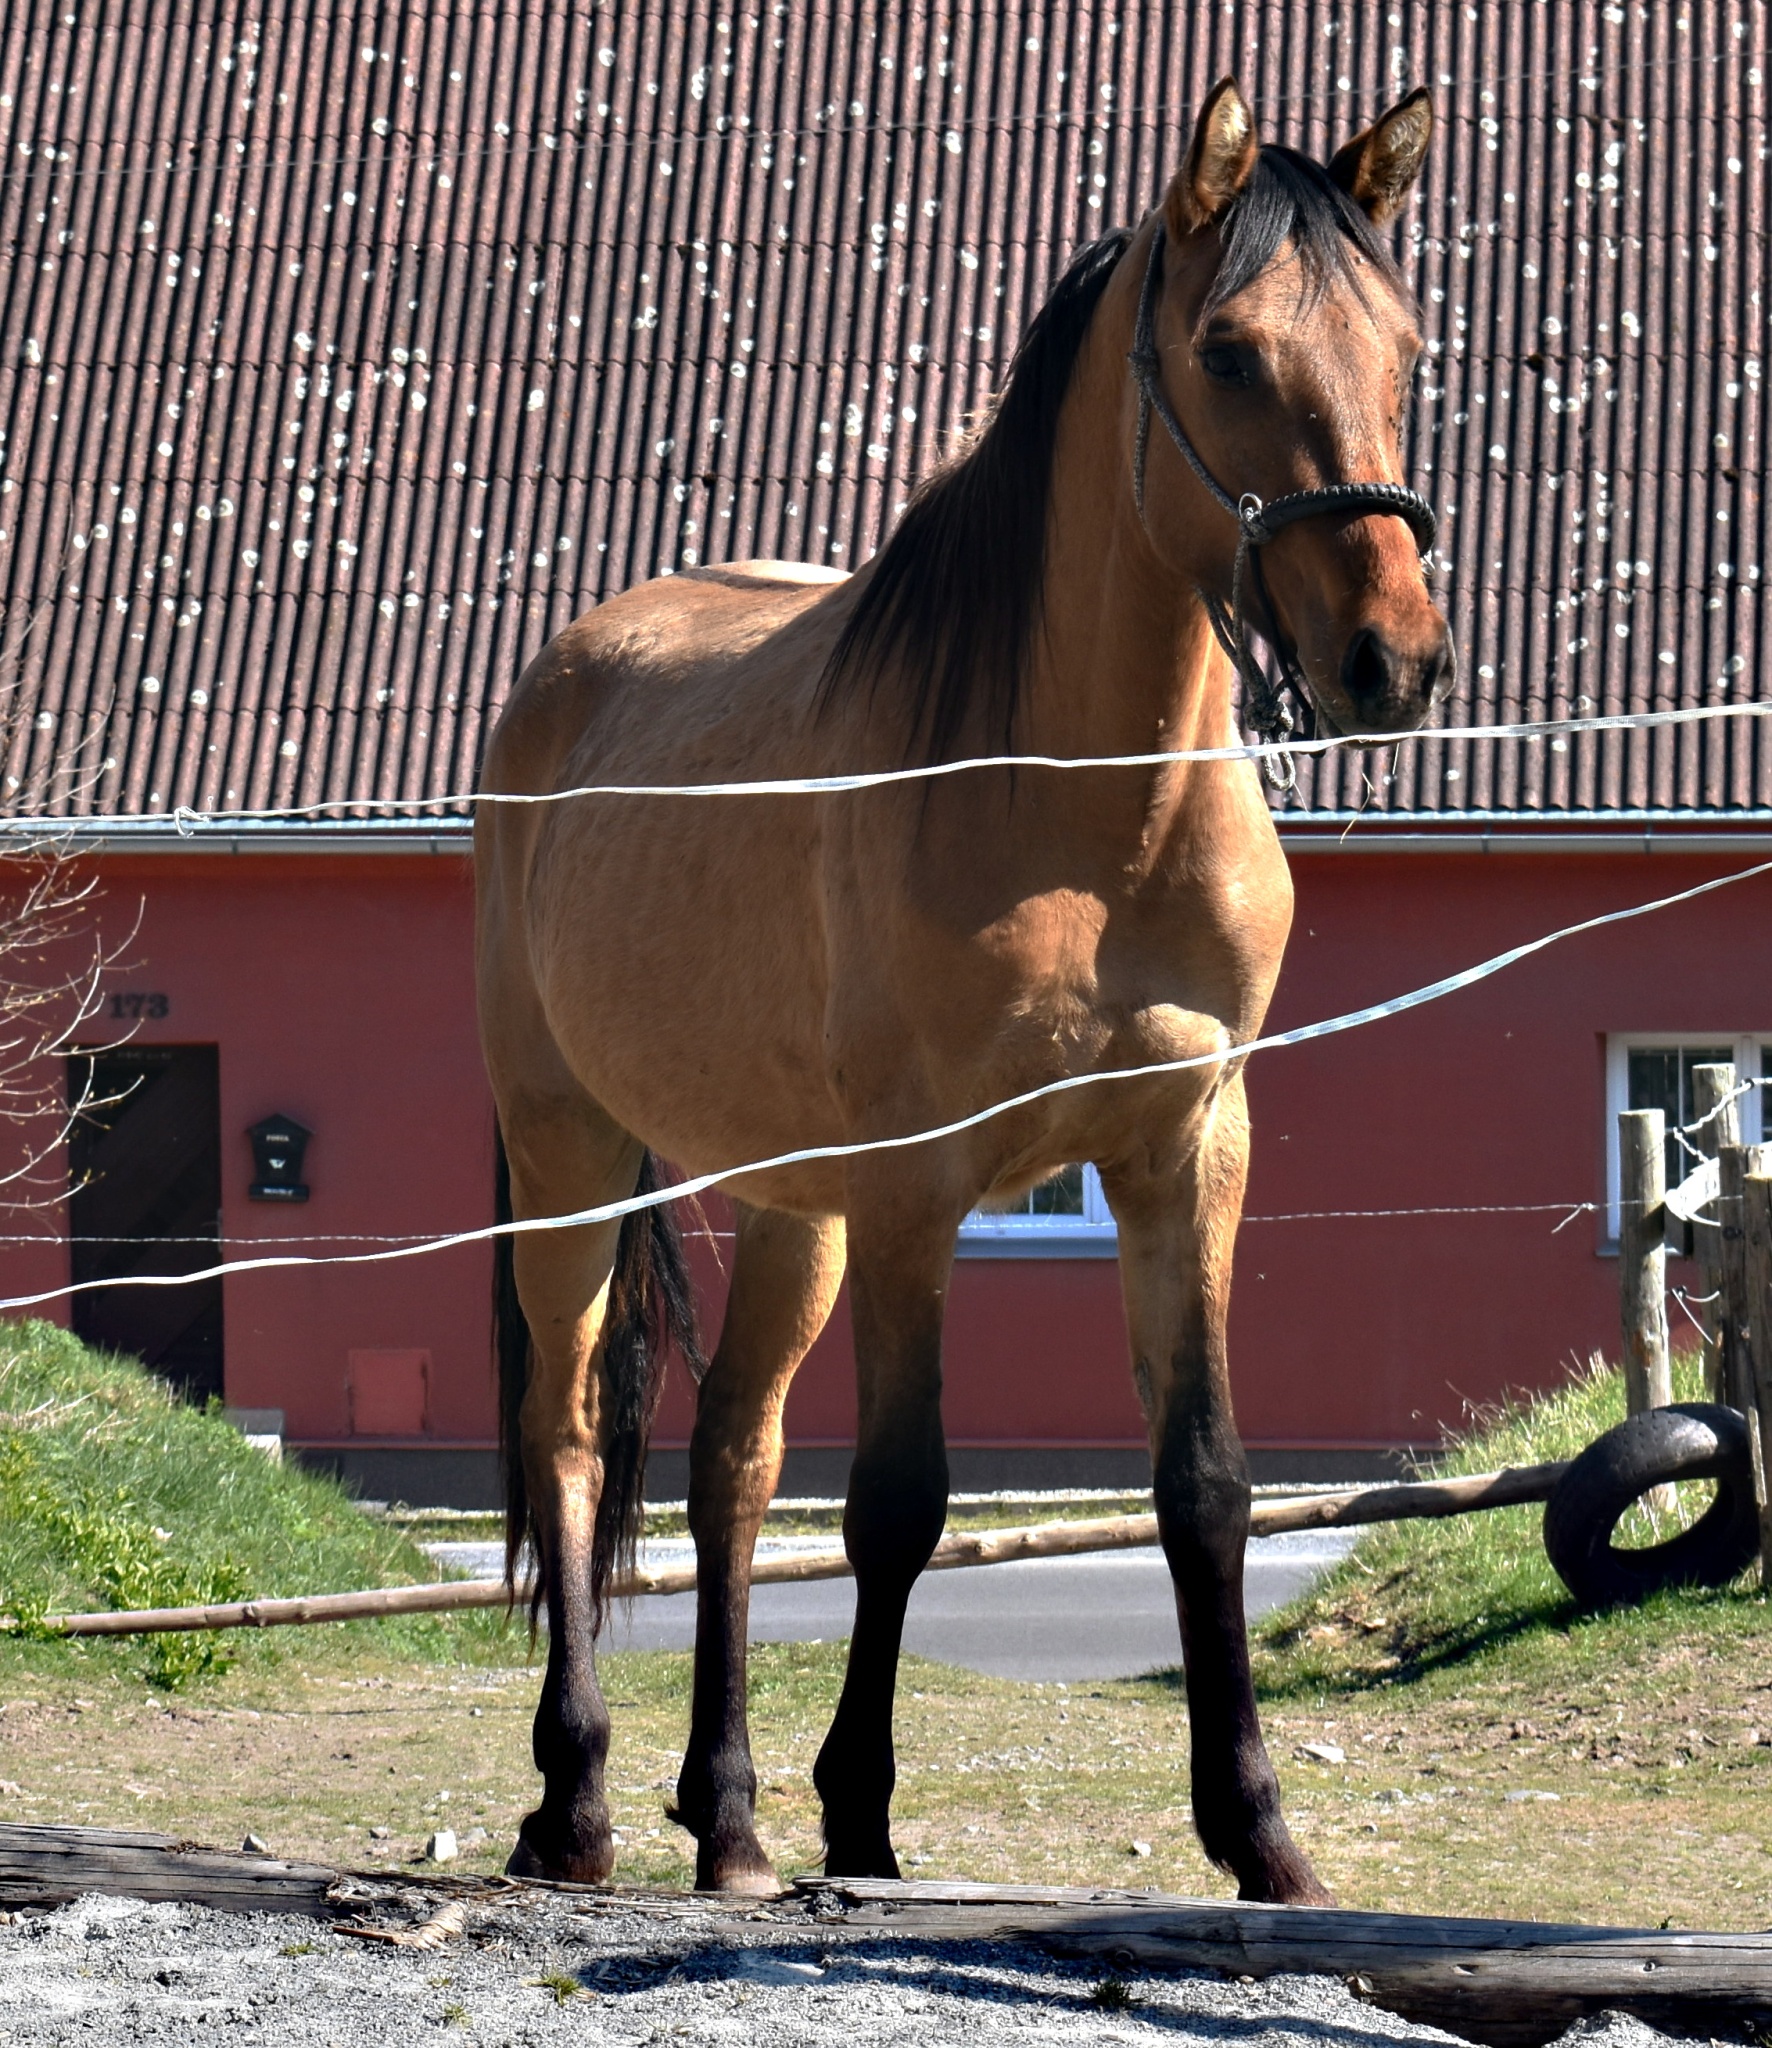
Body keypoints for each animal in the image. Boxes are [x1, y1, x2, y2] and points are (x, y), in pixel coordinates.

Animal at [473, 79, 1450, 1900]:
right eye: (1228, 353)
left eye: (1406, 346)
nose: (1392, 660)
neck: (1084, 799)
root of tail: (560, 682)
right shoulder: (922, 1182)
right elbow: (901, 1497)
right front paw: (862, 1809)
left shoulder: (1185, 1152)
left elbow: (1204, 1482)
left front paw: (1259, 1829)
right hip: (568, 1152)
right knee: (565, 1432)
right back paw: (572, 1798)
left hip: (791, 1200)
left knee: (728, 1460)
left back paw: (727, 1817)